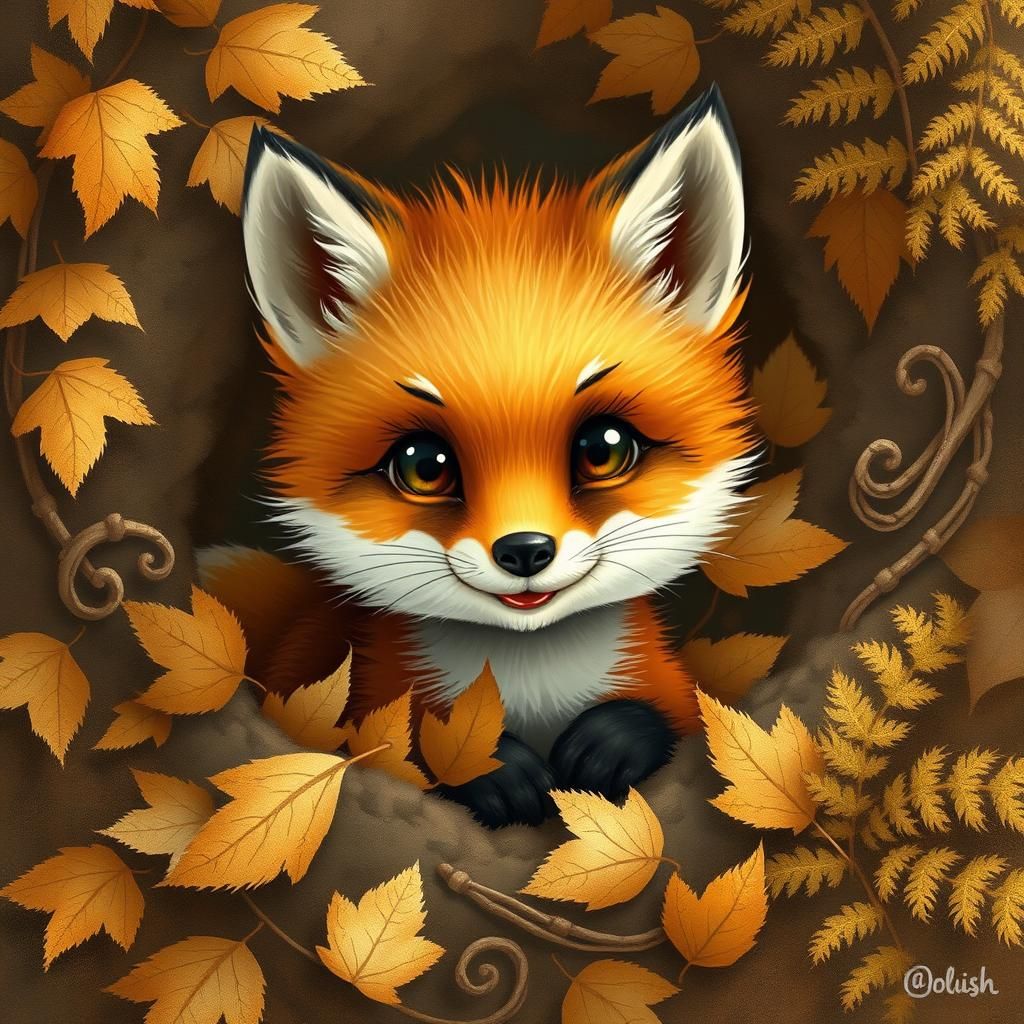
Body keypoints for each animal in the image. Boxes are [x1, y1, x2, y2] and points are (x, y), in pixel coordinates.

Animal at [200, 85, 756, 828]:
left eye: (604, 449)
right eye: (424, 465)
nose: (525, 551)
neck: (528, 681)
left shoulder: (667, 685)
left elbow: (674, 717)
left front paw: (611, 741)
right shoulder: (344, 701)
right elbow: (398, 741)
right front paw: (487, 766)